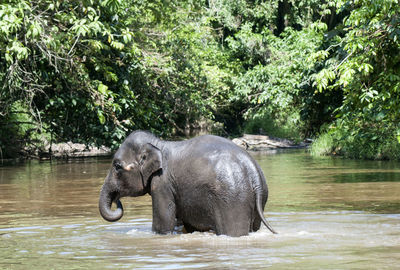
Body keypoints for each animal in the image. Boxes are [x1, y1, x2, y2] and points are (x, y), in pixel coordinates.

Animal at [98, 131, 276, 236]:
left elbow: (163, 223)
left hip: (233, 200)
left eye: (117, 166)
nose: (117, 200)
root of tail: (252, 169)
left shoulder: (162, 183)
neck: (160, 144)